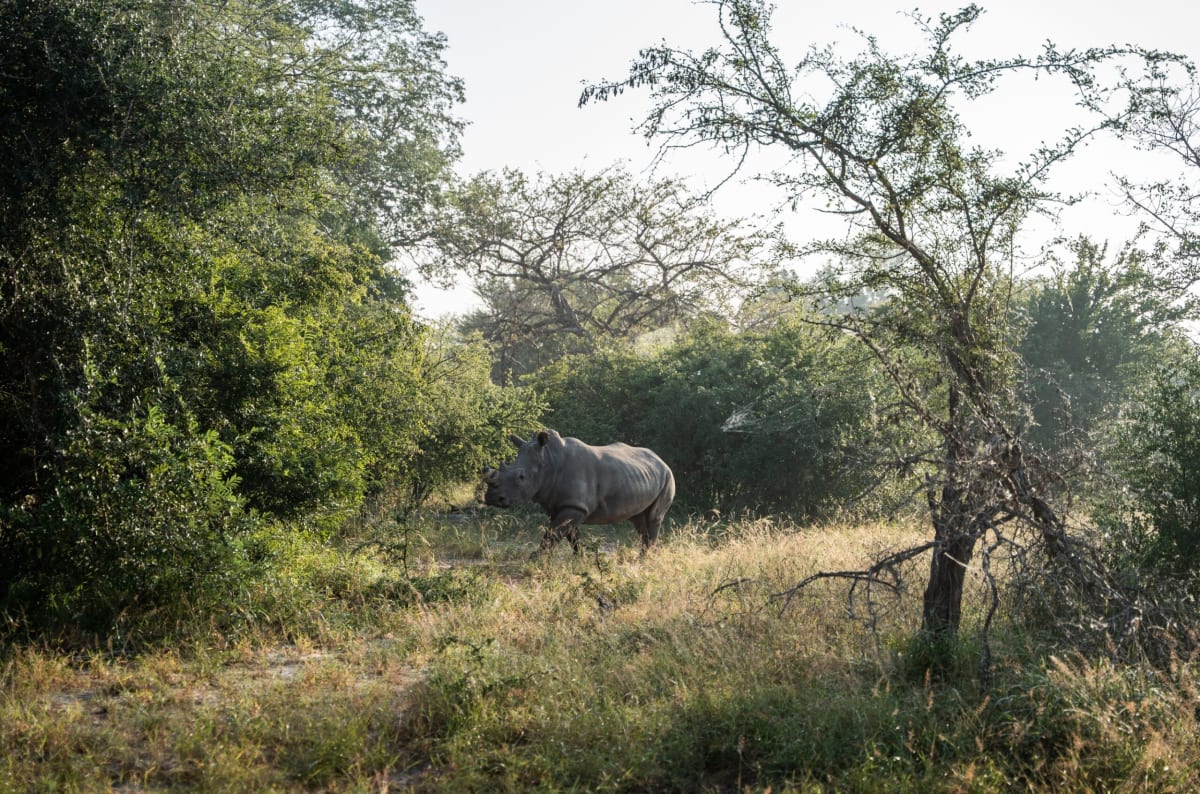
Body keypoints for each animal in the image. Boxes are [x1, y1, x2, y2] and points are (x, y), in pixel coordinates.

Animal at [482, 429, 675, 555]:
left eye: (521, 477)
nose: (491, 497)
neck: (549, 461)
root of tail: (661, 460)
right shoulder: (564, 505)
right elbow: (570, 535)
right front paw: (581, 559)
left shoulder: (575, 506)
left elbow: (552, 533)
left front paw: (536, 559)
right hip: (643, 476)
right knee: (639, 520)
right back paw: (641, 558)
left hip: (668, 477)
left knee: (654, 517)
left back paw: (645, 559)